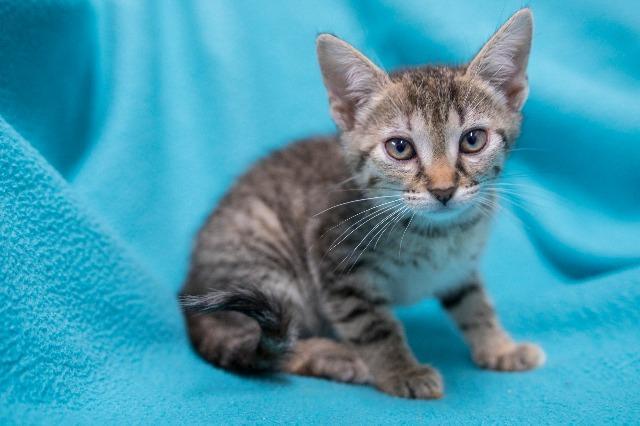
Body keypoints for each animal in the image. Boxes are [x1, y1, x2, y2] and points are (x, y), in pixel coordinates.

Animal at [180, 7, 544, 400]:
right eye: (400, 148)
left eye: (473, 140)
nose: (444, 189)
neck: (438, 236)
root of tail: (188, 289)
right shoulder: (336, 263)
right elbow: (373, 326)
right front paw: (402, 371)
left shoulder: (460, 268)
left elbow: (475, 303)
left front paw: (500, 346)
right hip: (263, 259)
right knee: (269, 341)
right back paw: (336, 355)